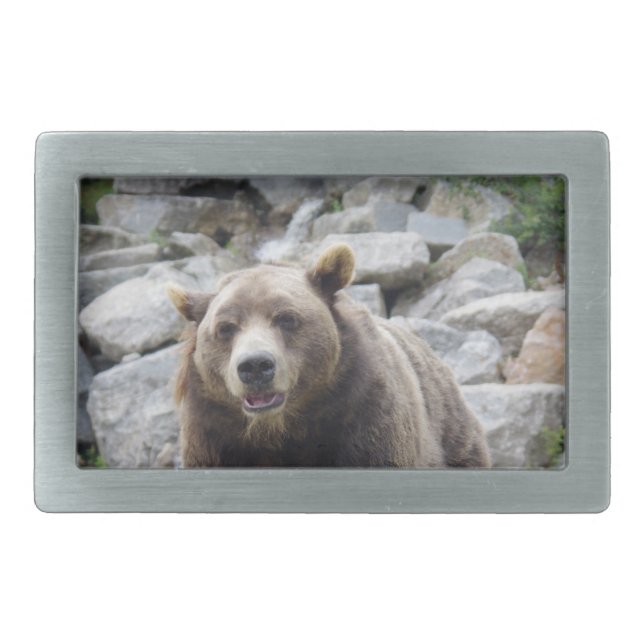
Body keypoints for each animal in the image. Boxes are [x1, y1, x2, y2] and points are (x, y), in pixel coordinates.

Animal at [167, 243, 491, 468]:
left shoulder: (366, 416)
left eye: (287, 318)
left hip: (450, 431)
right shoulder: (212, 435)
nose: (256, 366)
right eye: (226, 328)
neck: (280, 428)